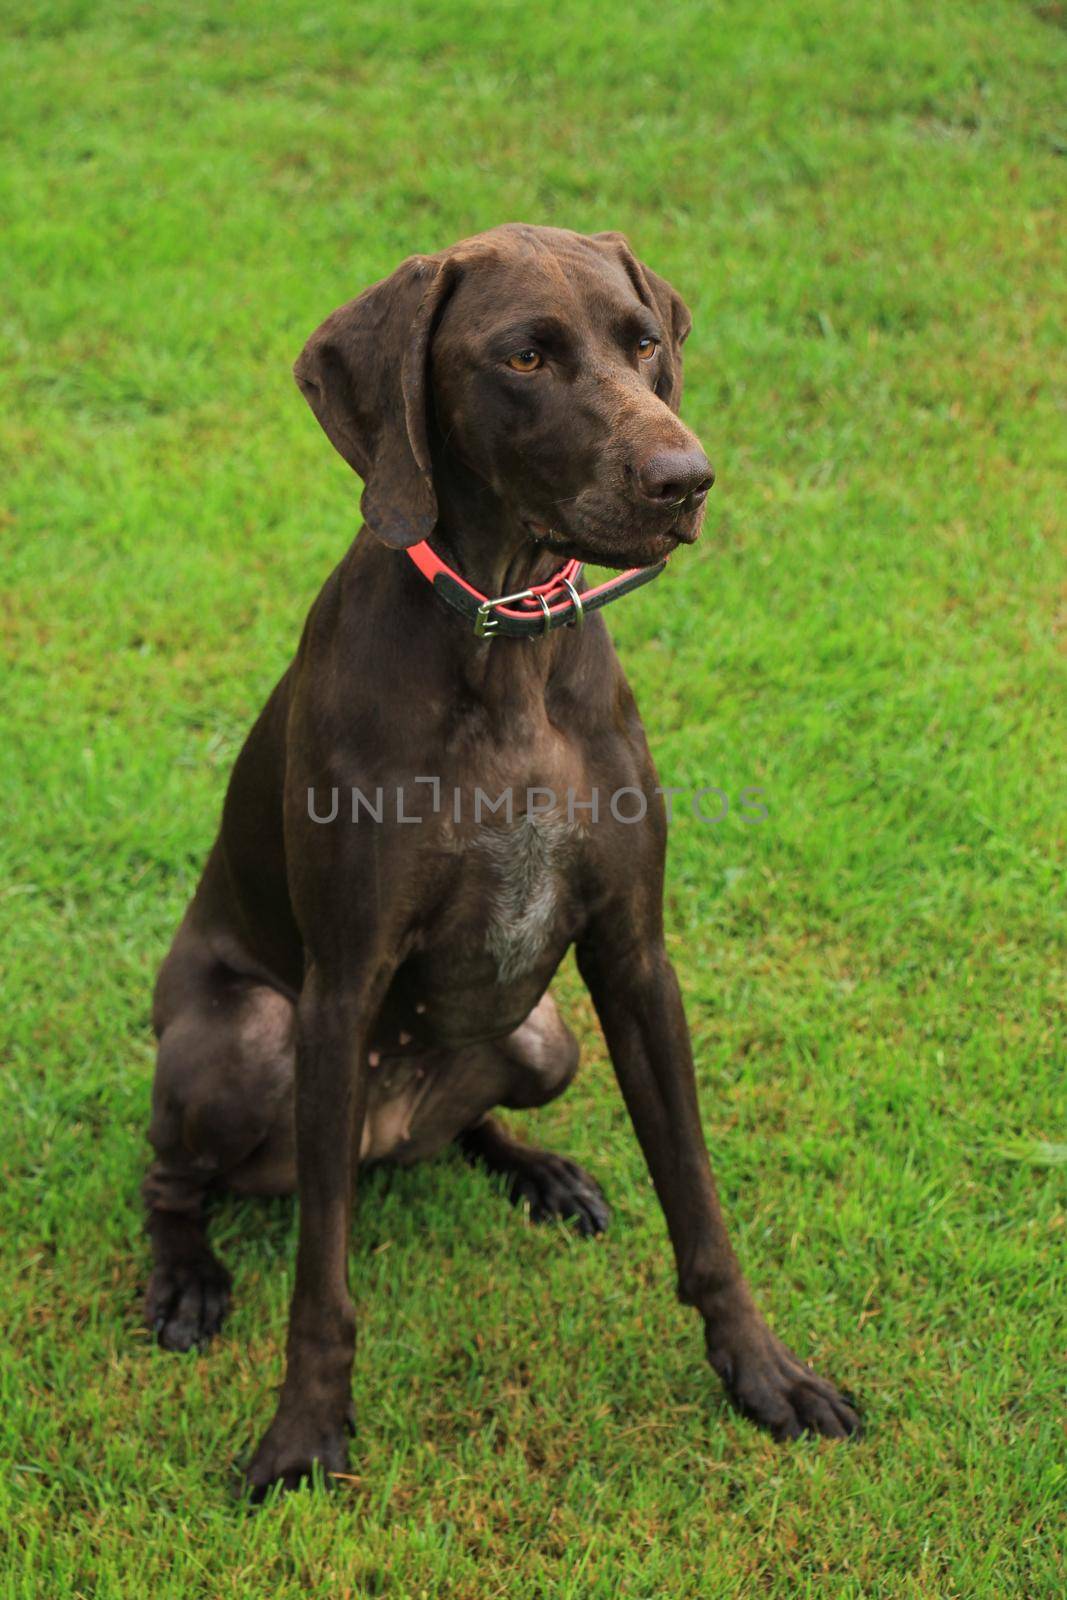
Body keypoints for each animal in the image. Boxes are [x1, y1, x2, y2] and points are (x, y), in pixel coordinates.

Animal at [141, 219, 857, 1491]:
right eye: (523, 356)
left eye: (642, 342)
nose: (686, 480)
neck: (506, 640)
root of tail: (387, 1133)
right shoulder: (340, 985)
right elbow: (321, 1283)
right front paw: (304, 1429)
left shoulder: (632, 959)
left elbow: (700, 1207)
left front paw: (763, 1373)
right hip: (247, 1042)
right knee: (172, 1176)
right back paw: (184, 1275)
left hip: (544, 1036)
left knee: (466, 1120)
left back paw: (537, 1169)